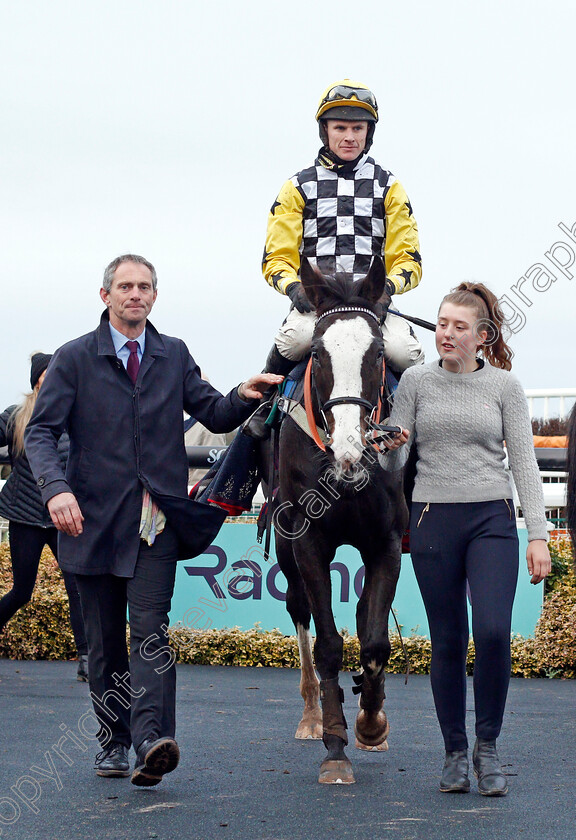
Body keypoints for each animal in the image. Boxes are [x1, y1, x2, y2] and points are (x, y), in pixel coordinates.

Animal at [264, 258, 408, 788]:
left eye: (378, 354)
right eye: (318, 356)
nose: (350, 453)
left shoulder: (386, 542)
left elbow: (375, 639)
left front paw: (371, 723)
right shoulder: (307, 541)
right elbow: (327, 642)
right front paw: (334, 744)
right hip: (284, 543)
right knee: (299, 608)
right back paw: (310, 715)